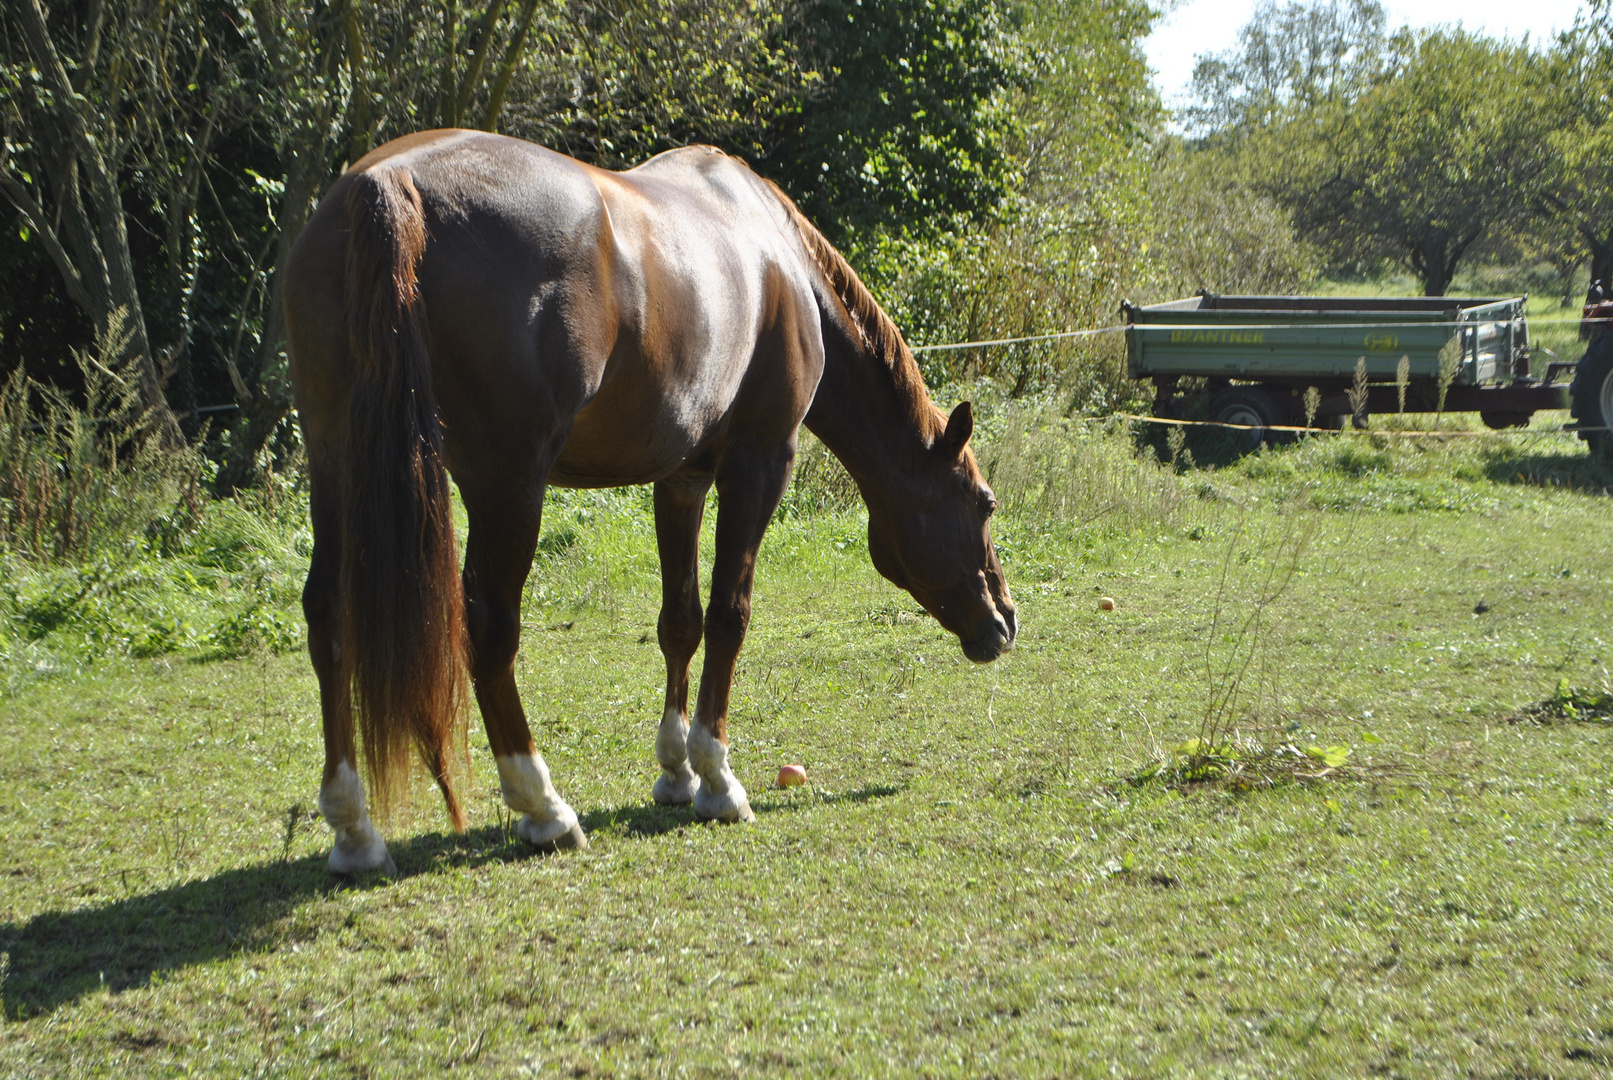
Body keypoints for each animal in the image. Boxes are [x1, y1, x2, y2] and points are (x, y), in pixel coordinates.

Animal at [283, 127, 1012, 876]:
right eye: (983, 503)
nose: (1003, 623)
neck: (778, 265)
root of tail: (388, 184)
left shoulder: (682, 477)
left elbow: (680, 621)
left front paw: (676, 773)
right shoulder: (759, 462)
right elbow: (728, 615)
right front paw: (718, 781)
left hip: (338, 465)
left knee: (329, 617)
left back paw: (355, 831)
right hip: (506, 485)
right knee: (489, 630)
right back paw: (544, 808)